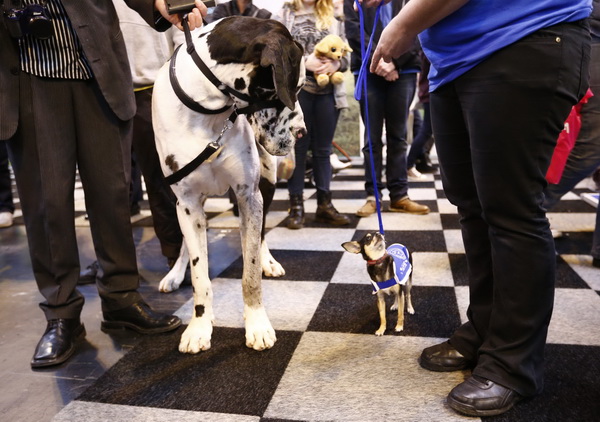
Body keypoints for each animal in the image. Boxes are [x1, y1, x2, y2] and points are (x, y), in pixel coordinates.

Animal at [152, 16, 308, 352]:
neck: (207, 110)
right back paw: (175, 274)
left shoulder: (249, 195)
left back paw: (268, 261)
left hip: (266, 184)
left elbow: (250, 271)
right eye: (298, 86)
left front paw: (257, 324)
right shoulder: (187, 202)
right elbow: (200, 274)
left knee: (260, 235)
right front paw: (199, 325)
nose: (302, 132)